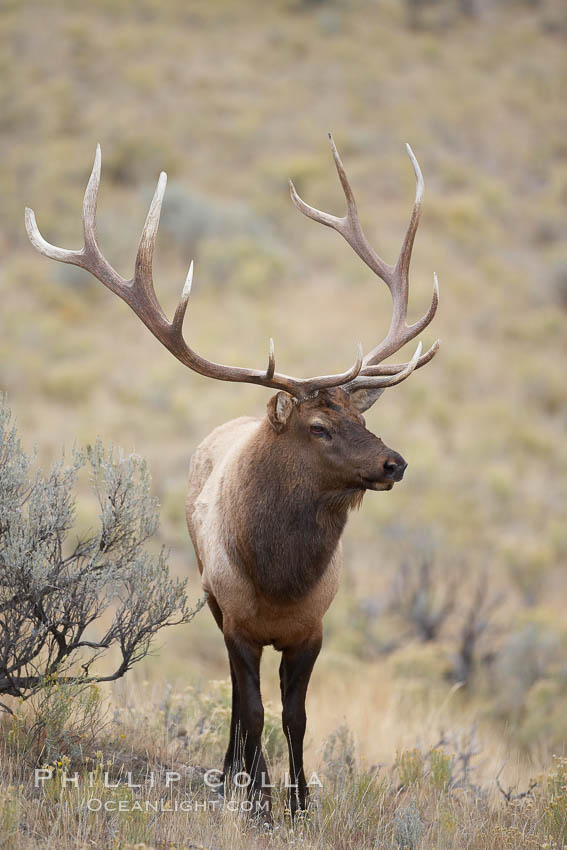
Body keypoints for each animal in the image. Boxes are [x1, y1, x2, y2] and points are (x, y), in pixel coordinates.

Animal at [26, 136, 442, 820]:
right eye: (319, 427)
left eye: (361, 416)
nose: (394, 463)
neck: (279, 580)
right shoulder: (239, 622)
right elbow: (251, 712)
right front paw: (260, 802)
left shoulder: (313, 629)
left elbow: (297, 717)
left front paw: (301, 805)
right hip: (212, 600)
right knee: (232, 698)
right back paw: (230, 776)